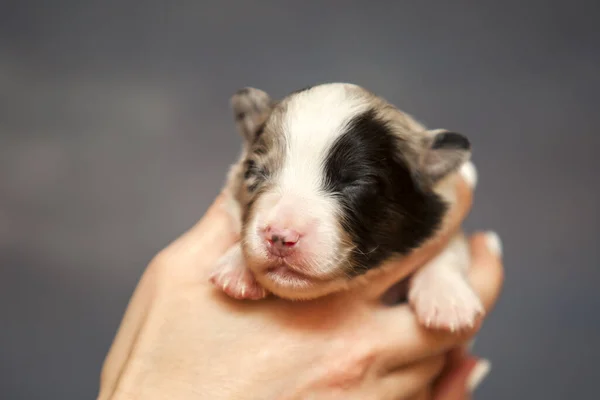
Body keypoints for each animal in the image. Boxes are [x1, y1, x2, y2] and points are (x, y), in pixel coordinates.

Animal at [210, 83, 482, 332]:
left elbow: (450, 247)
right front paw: (237, 265)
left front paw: (446, 296)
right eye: (254, 172)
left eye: (355, 182)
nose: (279, 236)